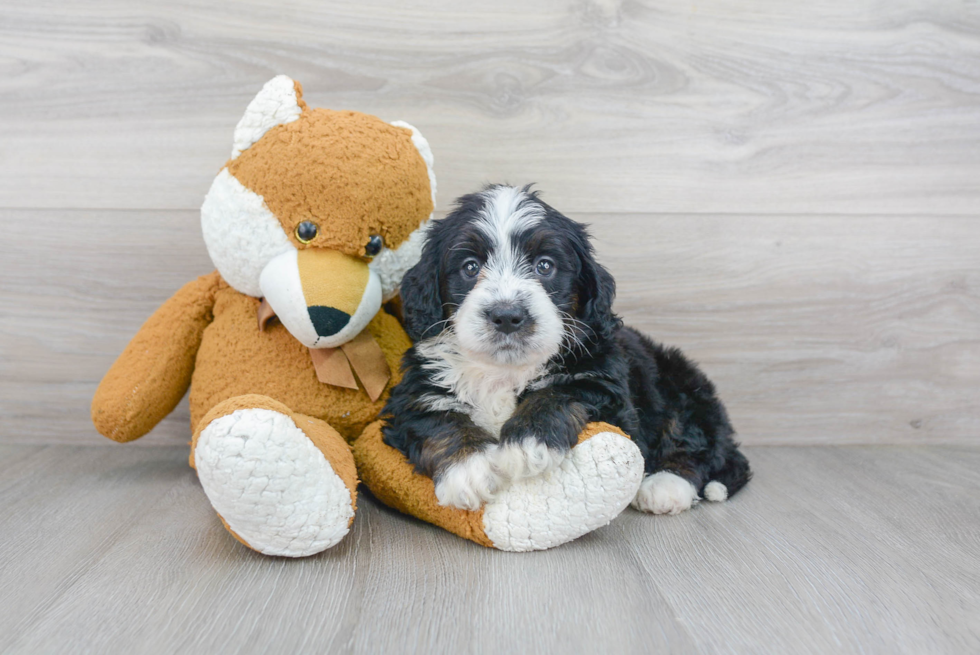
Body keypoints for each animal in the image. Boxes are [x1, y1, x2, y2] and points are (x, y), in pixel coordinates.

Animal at [382, 186, 752, 516]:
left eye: (545, 266)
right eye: (470, 267)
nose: (507, 316)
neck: (505, 370)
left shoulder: (602, 385)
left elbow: (558, 393)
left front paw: (527, 443)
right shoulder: (416, 395)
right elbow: (438, 422)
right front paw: (470, 469)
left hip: (681, 385)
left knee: (694, 445)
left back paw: (664, 486)